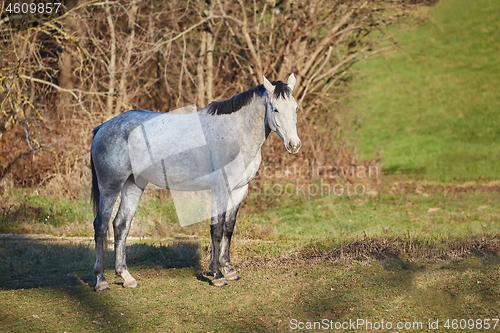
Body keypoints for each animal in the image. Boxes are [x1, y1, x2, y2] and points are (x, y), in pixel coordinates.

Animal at [90, 72, 300, 288]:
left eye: (295, 108)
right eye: (275, 108)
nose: (294, 145)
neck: (234, 136)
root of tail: (102, 127)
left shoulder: (239, 189)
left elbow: (228, 228)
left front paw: (229, 269)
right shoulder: (220, 188)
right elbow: (216, 229)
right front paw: (217, 275)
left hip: (133, 184)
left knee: (121, 225)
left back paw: (126, 277)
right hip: (110, 186)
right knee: (100, 226)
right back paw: (101, 280)